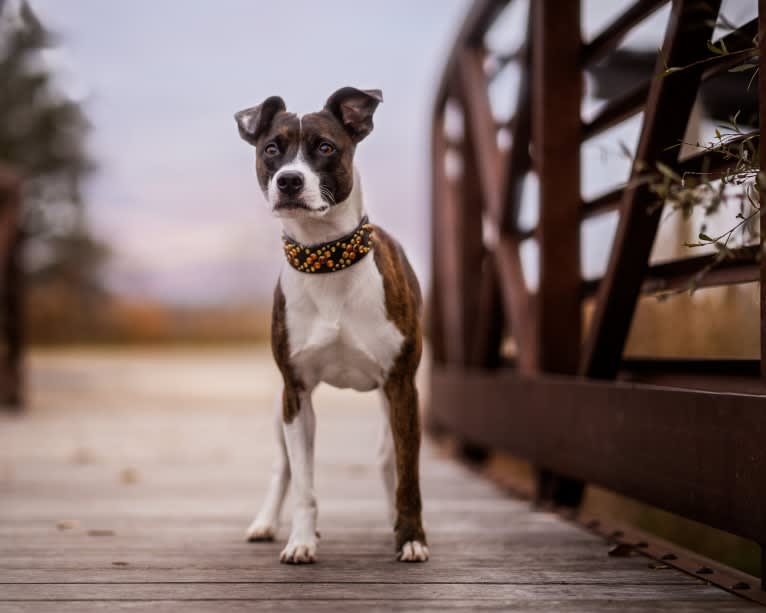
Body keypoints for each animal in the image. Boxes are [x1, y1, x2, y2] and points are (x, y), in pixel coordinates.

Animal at [234, 86, 428, 564]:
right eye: (271, 149)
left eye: (324, 147)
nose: (289, 180)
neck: (325, 258)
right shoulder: (296, 393)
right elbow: (303, 482)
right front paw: (301, 540)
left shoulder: (402, 387)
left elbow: (407, 475)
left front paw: (411, 537)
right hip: (281, 409)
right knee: (282, 466)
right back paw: (266, 523)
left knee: (388, 459)